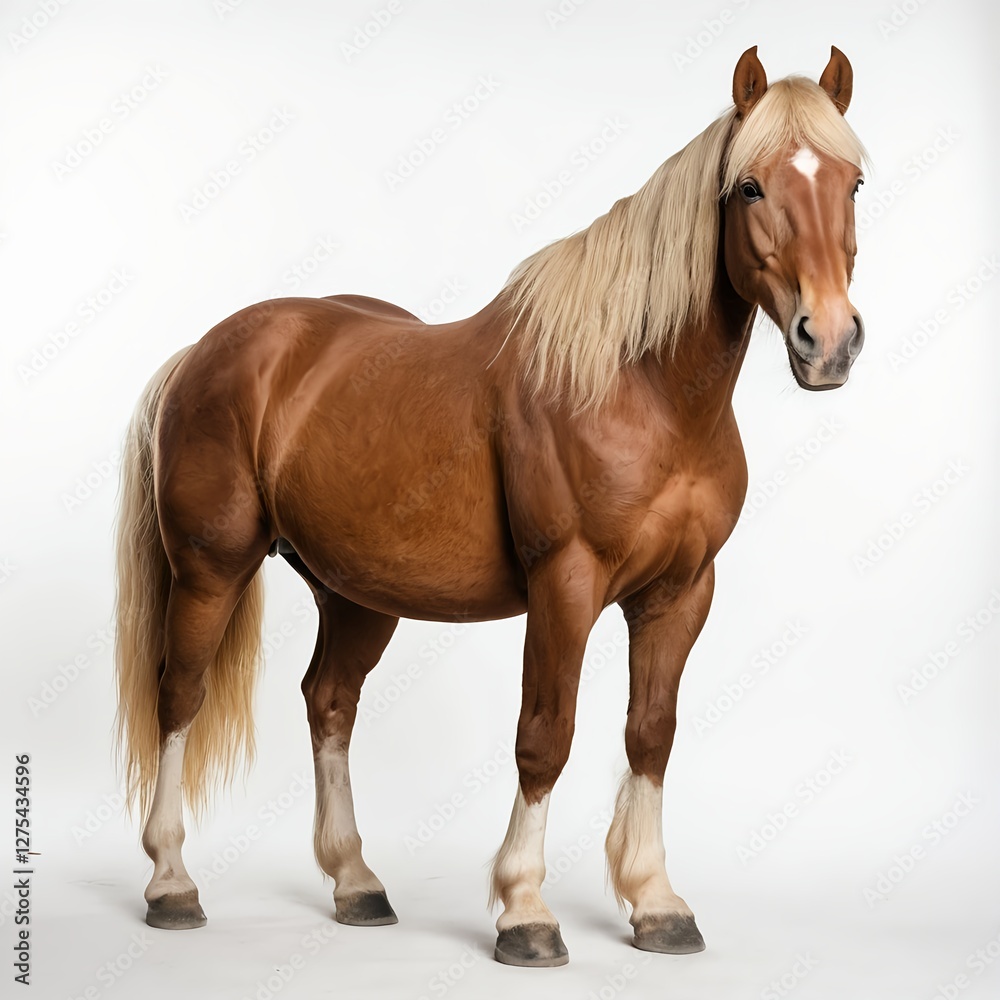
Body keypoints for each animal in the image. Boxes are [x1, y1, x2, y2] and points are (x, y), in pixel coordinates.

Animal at [114, 45, 867, 968]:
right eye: (752, 187)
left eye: (854, 183)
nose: (828, 341)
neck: (641, 388)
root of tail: (203, 350)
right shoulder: (565, 585)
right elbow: (545, 736)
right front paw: (525, 911)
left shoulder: (681, 593)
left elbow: (650, 734)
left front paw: (656, 903)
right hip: (211, 569)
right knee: (178, 697)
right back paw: (171, 883)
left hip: (357, 594)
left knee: (329, 702)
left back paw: (356, 883)